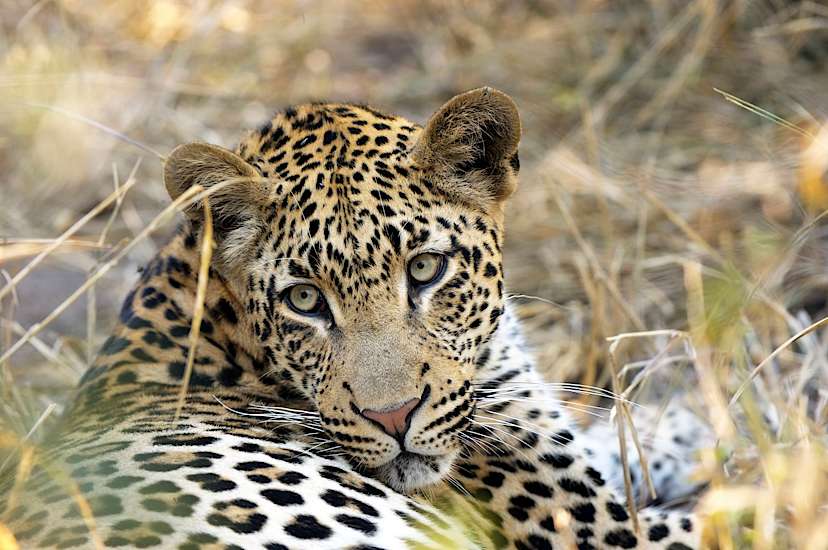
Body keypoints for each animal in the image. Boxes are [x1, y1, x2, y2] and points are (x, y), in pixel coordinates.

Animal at [0, 87, 708, 549]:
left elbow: (621, 438)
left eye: (425, 269)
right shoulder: (600, 530)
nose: (393, 418)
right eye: (305, 300)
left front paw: (689, 422)